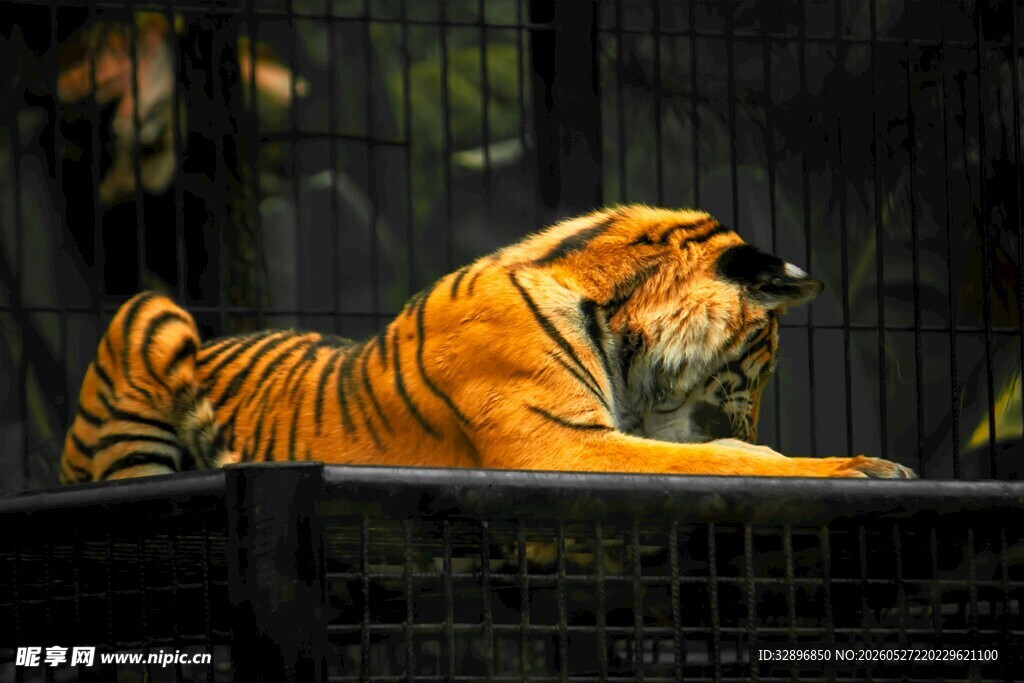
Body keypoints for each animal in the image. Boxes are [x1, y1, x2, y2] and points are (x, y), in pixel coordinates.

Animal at [60, 205, 916, 484]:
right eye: (759, 364)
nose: (749, 419)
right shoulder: (559, 443)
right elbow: (718, 462)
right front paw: (867, 465)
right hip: (151, 312)